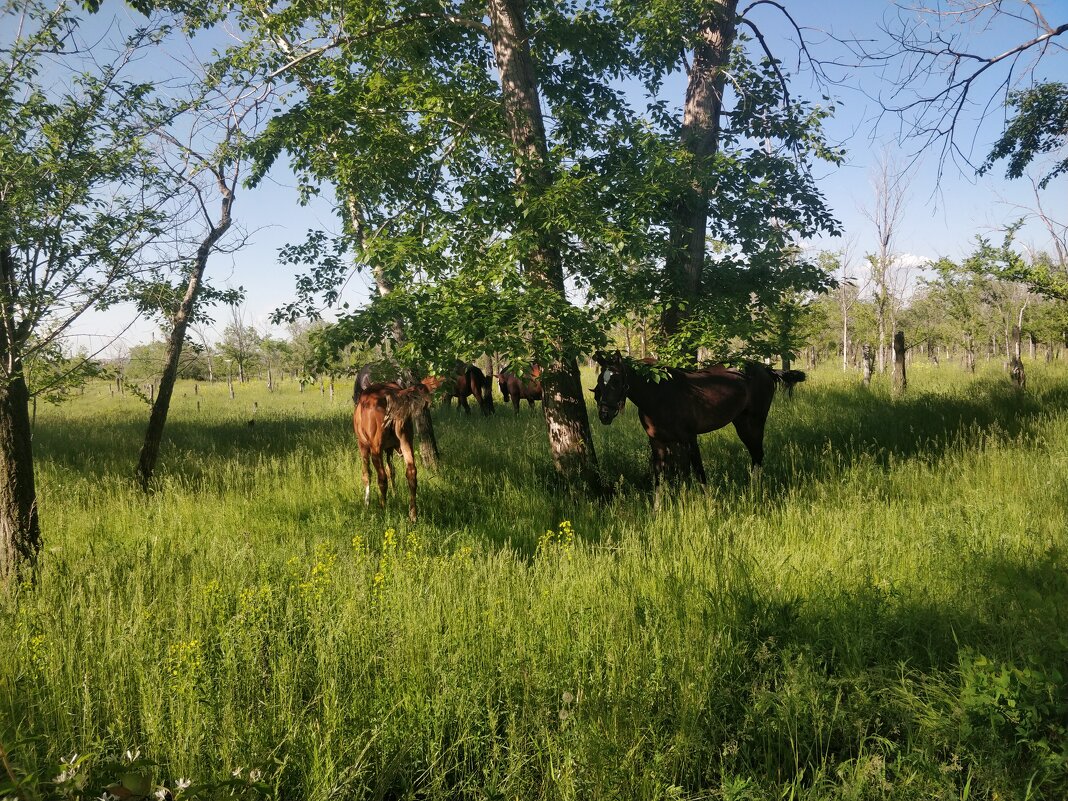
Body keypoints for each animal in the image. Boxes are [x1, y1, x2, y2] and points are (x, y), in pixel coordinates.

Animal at [352, 380, 440, 523]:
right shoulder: (389, 448)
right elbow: (391, 470)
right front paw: (395, 495)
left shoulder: (363, 445)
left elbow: (367, 474)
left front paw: (367, 504)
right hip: (406, 441)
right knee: (411, 472)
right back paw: (413, 515)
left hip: (375, 448)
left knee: (381, 477)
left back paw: (383, 508)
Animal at [589, 352, 803, 489]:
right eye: (600, 381)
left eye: (616, 381)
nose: (604, 414)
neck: (659, 394)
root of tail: (766, 369)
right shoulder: (657, 442)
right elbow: (659, 479)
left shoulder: (690, 438)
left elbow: (700, 474)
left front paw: (709, 509)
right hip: (741, 423)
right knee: (755, 455)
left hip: (755, 423)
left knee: (758, 455)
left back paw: (754, 491)